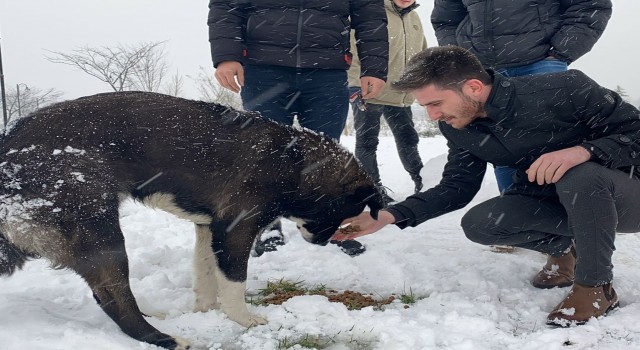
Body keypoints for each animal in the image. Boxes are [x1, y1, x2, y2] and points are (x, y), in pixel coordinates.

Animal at [0, 91, 382, 348]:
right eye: (340, 212)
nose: (324, 242)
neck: (294, 161)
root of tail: (9, 151)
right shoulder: (235, 229)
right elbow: (234, 283)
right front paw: (243, 319)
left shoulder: (208, 228)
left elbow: (206, 277)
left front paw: (205, 313)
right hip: (100, 233)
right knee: (114, 299)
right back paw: (164, 338)